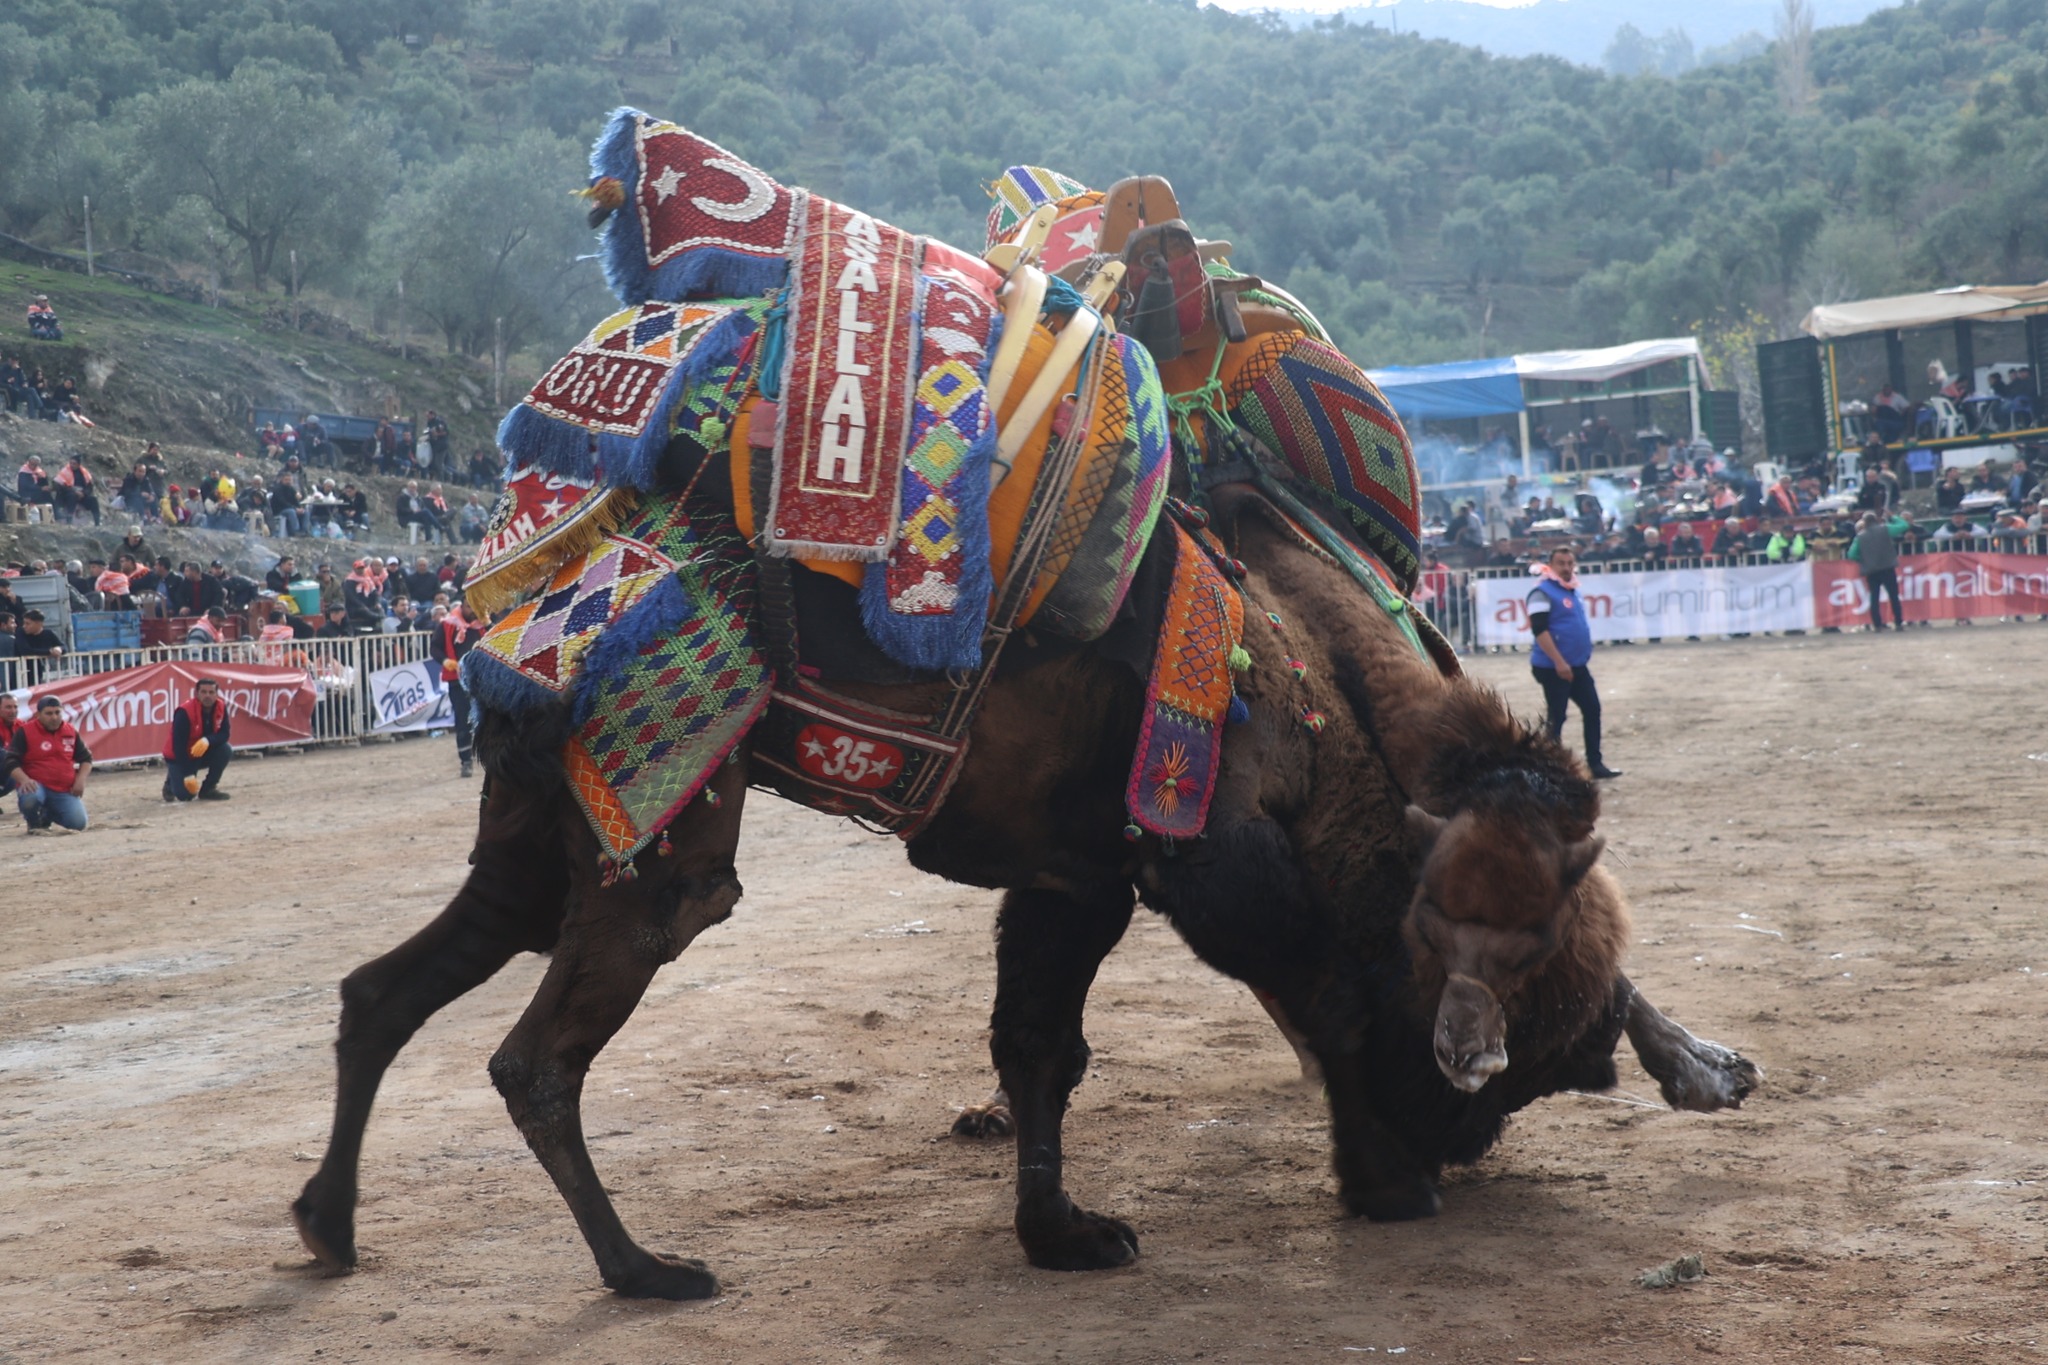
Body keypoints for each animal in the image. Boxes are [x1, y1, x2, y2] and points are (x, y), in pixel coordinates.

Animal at [292, 480, 1761, 1301]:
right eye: (1520, 1057)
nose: (1464, 1130)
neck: (1297, 673)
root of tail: (502, 618)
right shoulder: (1200, 854)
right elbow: (1324, 996)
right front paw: (1383, 1181)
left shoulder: (1076, 876)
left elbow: (1040, 1047)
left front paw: (1062, 1233)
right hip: (655, 841)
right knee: (537, 1052)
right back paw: (644, 1271)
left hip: (531, 846)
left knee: (384, 988)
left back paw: (327, 1223)